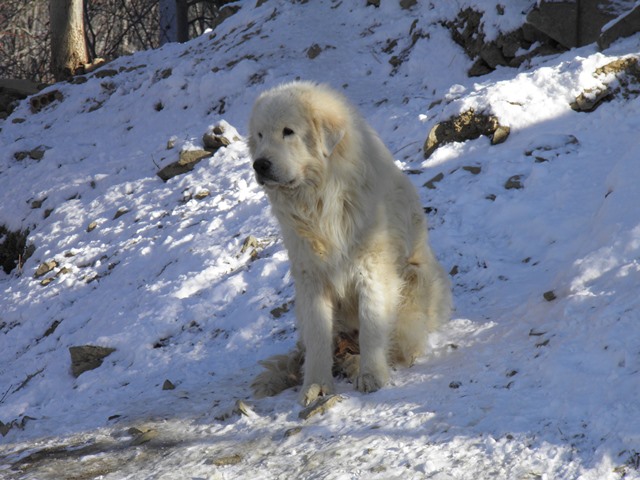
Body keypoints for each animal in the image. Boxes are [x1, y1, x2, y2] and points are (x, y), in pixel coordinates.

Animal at [245, 82, 450, 404]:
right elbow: (318, 337)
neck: (320, 199)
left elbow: (372, 325)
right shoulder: (311, 277)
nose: (260, 164)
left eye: (288, 131)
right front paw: (316, 385)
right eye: (260, 135)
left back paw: (356, 363)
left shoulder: (372, 269)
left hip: (416, 280)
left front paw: (371, 375)